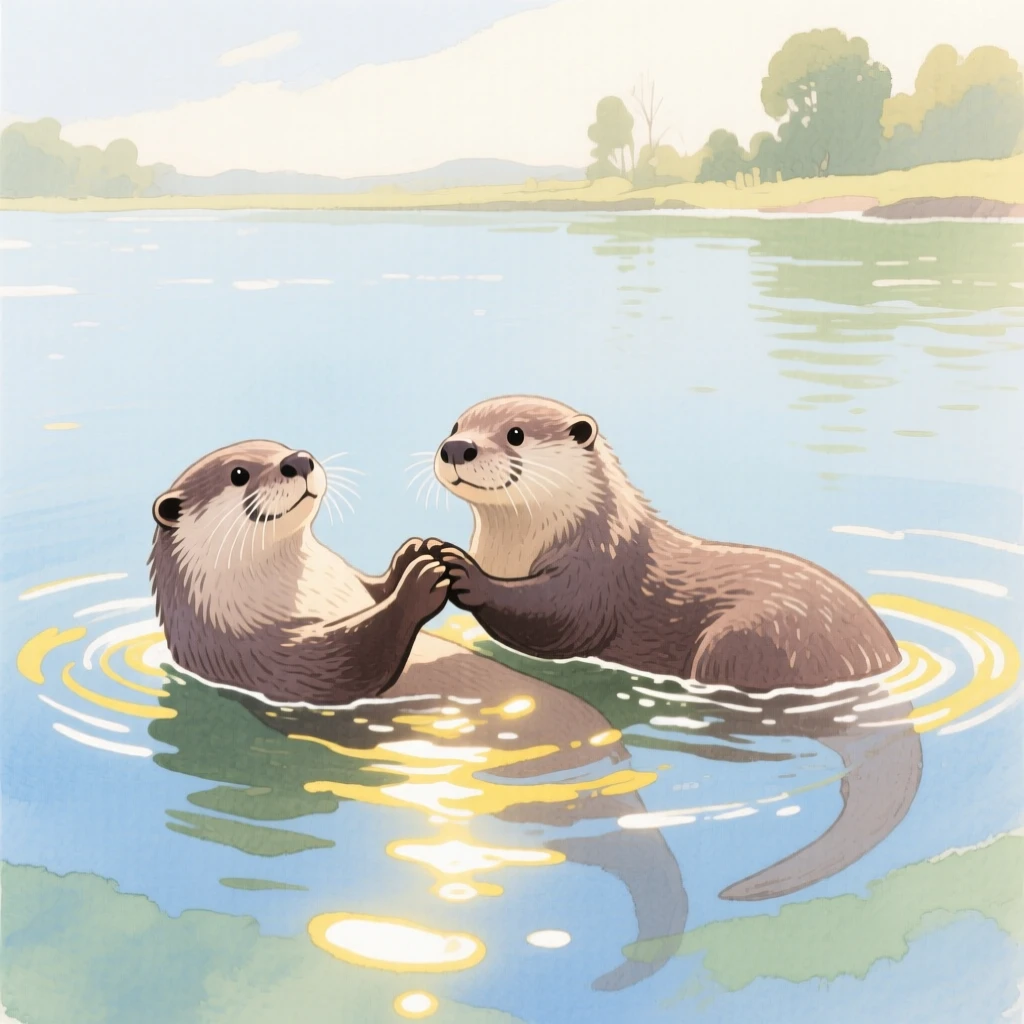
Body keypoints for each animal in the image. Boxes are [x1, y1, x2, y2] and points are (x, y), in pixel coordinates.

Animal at [149, 440, 452, 703]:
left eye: (284, 447)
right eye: (238, 474)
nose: (297, 460)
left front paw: (413, 553)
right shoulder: (254, 652)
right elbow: (342, 663)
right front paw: (418, 581)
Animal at [432, 396, 900, 690]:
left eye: (515, 434)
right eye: (455, 425)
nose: (457, 447)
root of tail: (886, 657)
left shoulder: (597, 572)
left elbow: (555, 617)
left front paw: (464, 571)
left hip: (749, 641)